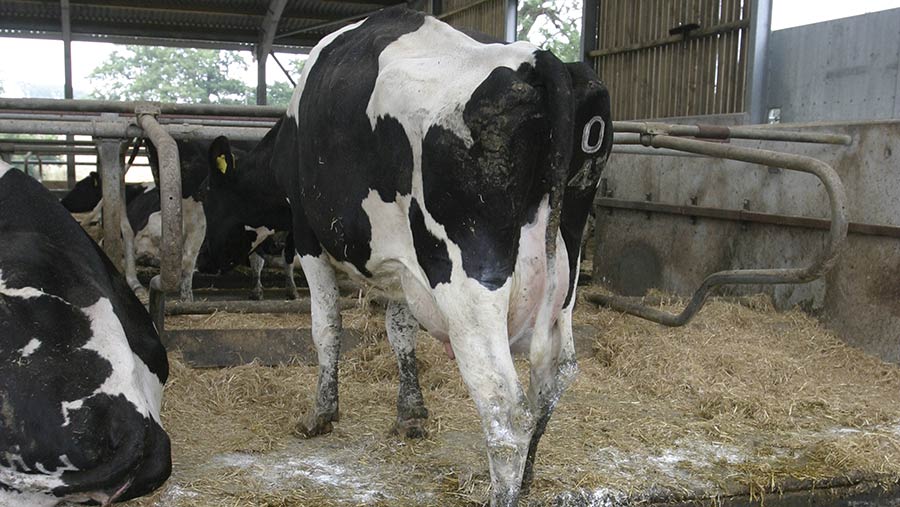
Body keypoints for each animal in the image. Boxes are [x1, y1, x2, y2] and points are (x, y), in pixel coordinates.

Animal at [207, 5, 612, 506]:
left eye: (207, 194)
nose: (205, 261)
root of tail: (539, 60)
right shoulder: (402, 265)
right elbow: (401, 333)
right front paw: (410, 414)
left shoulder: (308, 237)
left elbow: (326, 328)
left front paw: (320, 414)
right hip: (564, 278)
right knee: (554, 380)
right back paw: (528, 478)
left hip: (468, 284)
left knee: (503, 404)